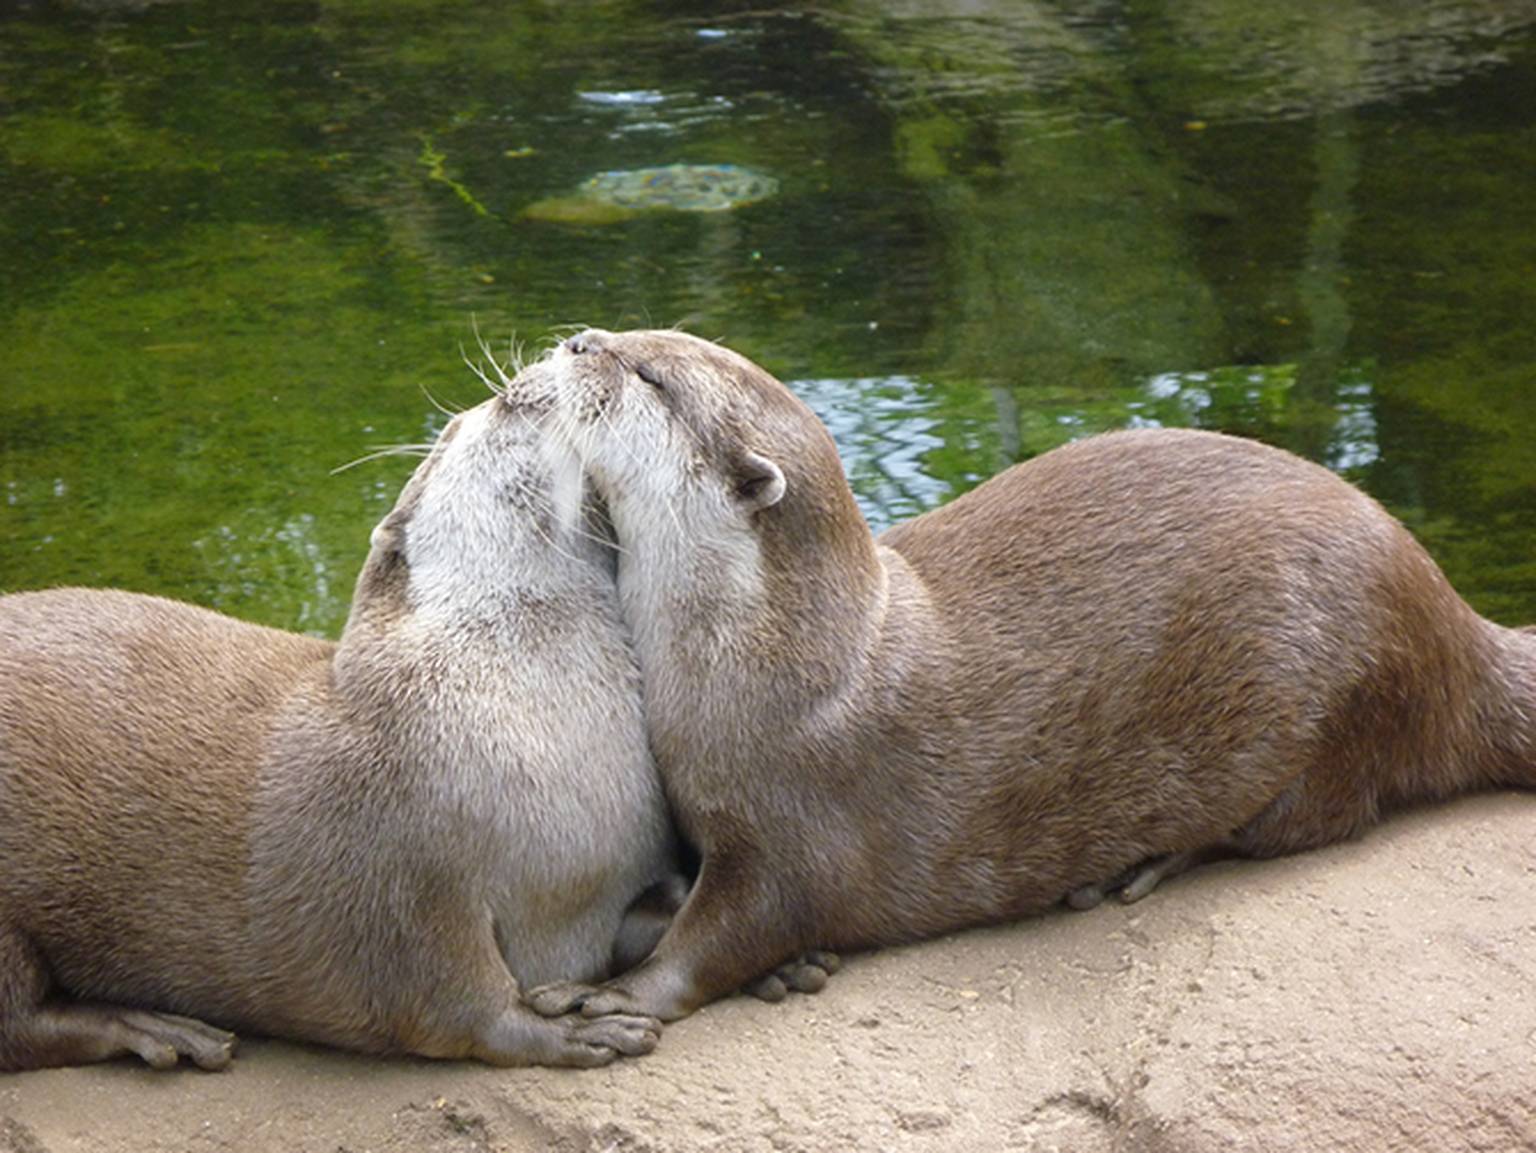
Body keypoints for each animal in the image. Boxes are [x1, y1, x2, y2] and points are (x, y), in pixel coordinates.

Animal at [0, 386, 678, 1071]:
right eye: (456, 435)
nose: (517, 394)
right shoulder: (405, 873)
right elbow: (459, 1008)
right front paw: (577, 1033)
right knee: (22, 1023)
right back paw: (155, 1029)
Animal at [516, 327, 1536, 1026]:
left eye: (650, 376)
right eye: (640, 334)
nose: (579, 340)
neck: (775, 664)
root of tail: (1450, 617)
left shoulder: (792, 825)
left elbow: (729, 935)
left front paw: (618, 996)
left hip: (1339, 697)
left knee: (1306, 818)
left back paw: (1139, 867)